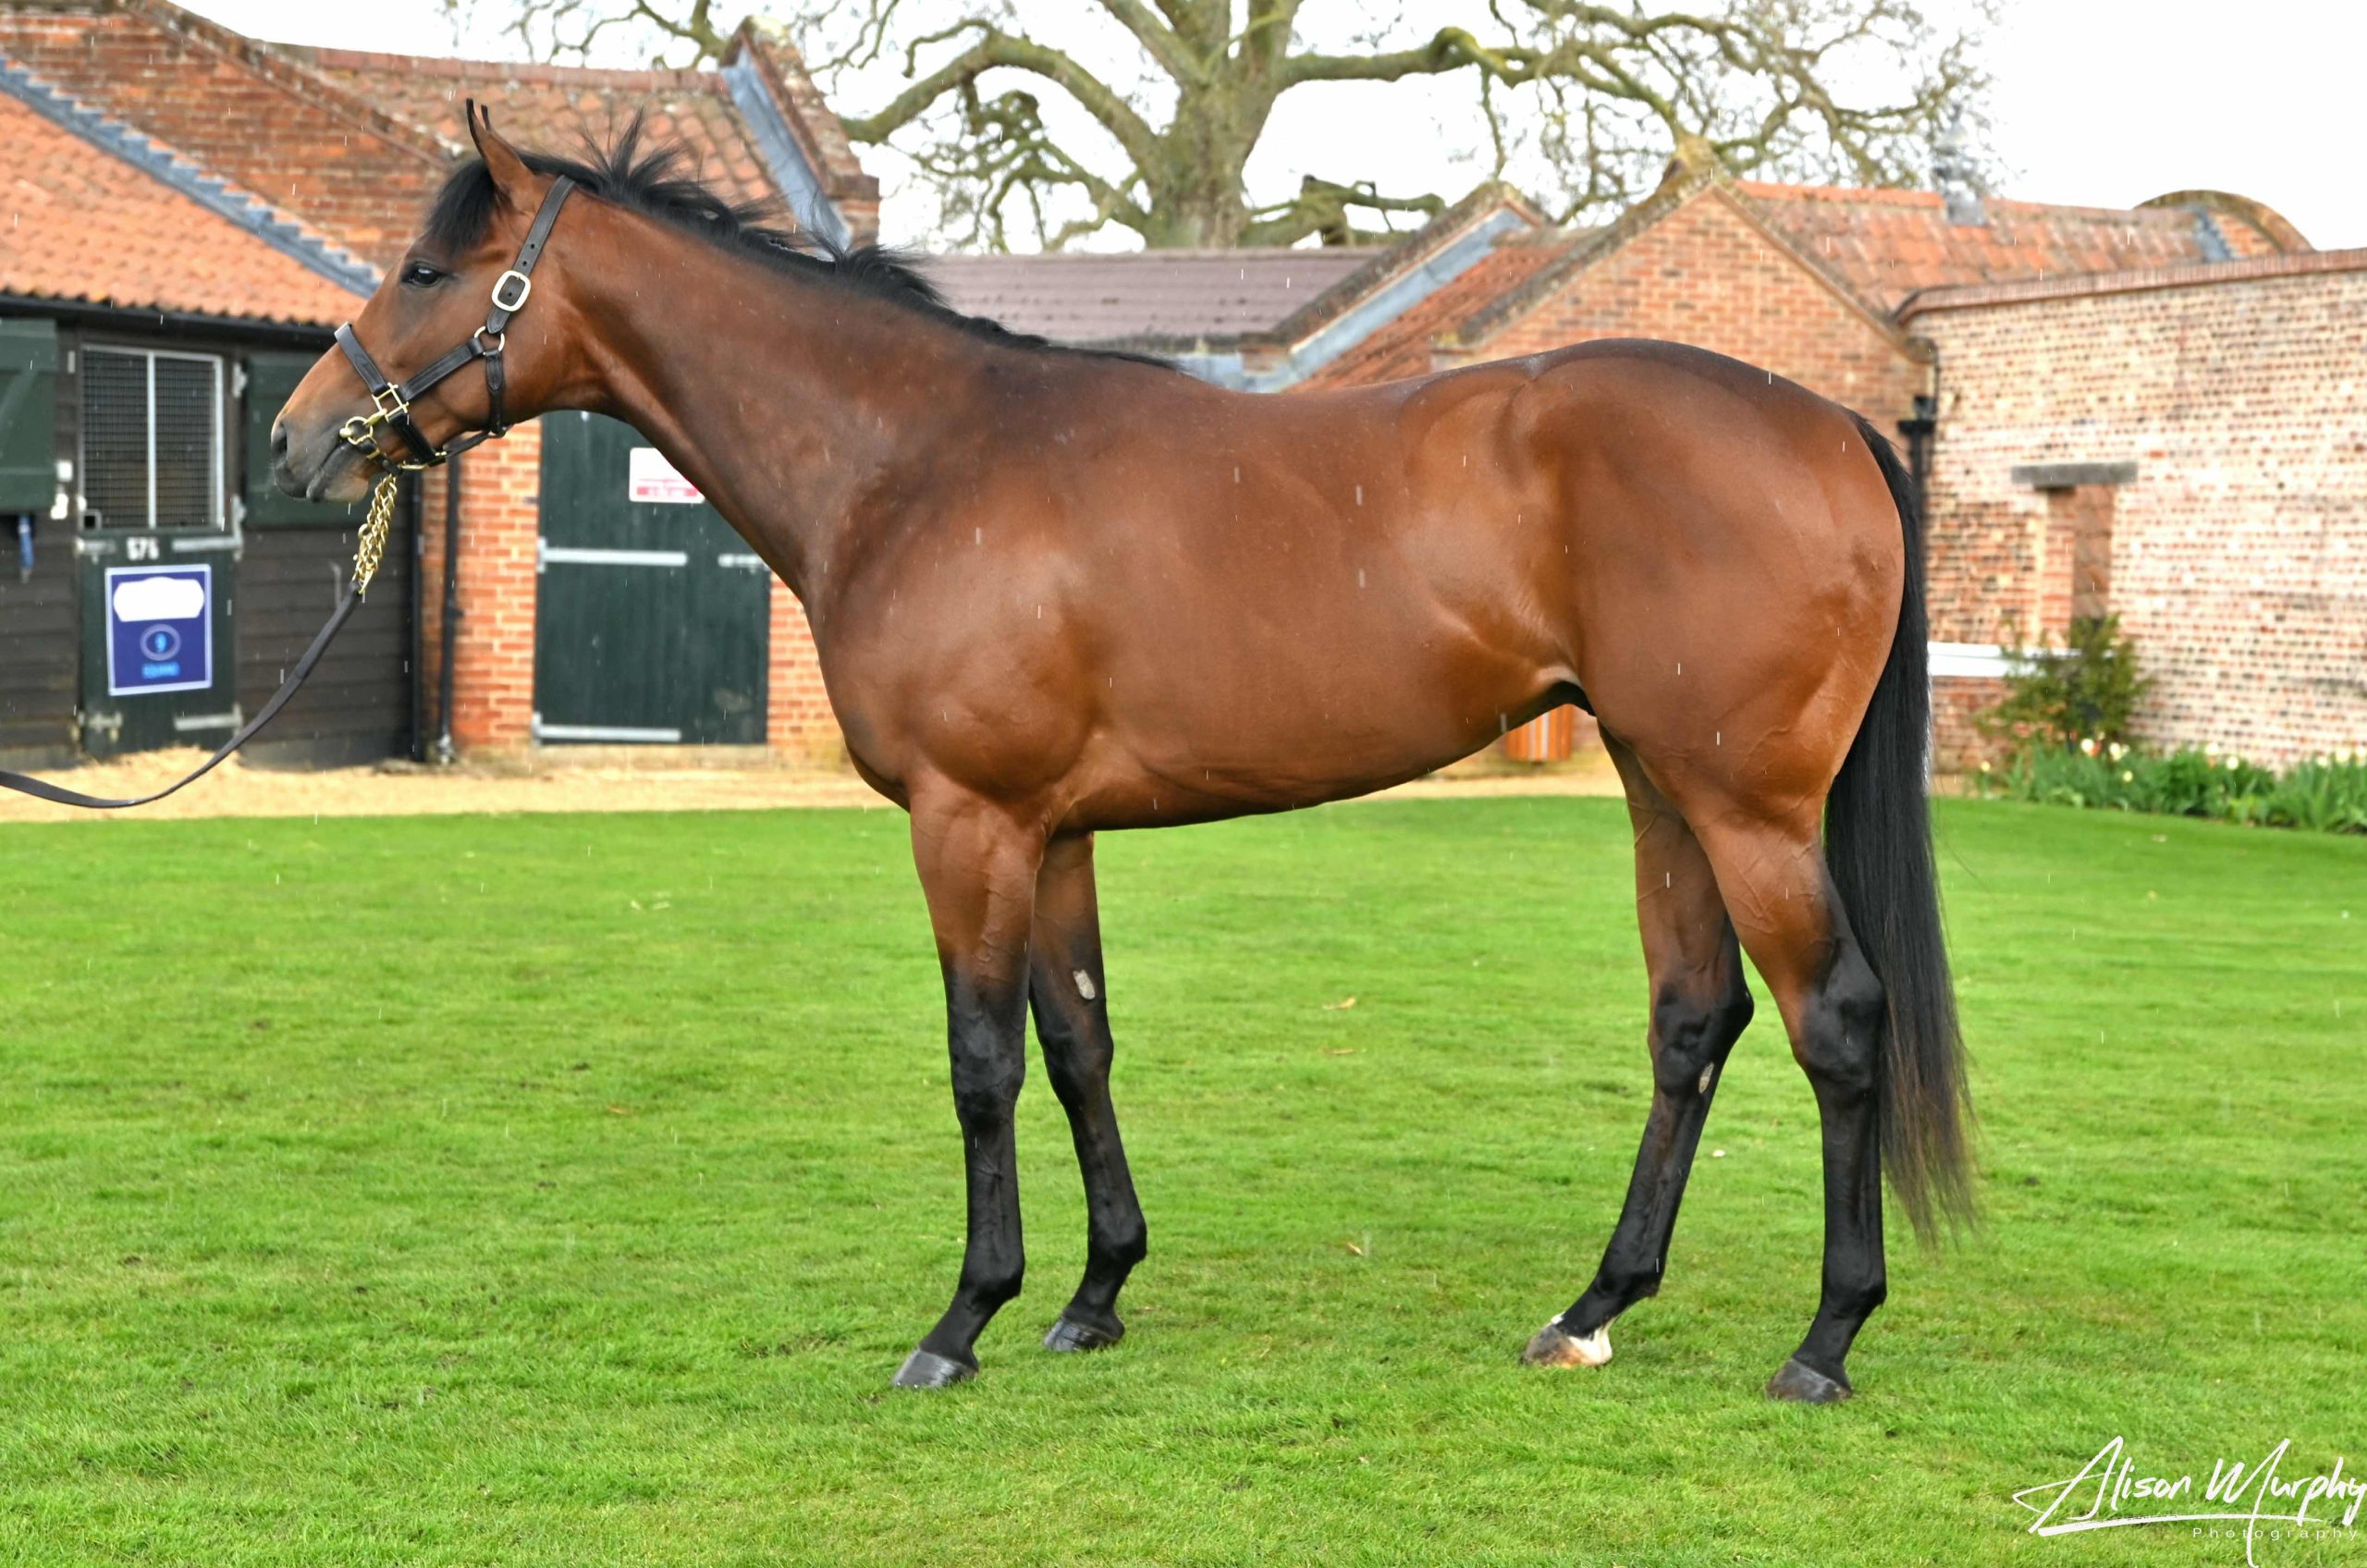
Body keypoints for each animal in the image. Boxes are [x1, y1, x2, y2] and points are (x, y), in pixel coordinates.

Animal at [272, 116, 1979, 1402]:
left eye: (428, 268)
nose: (298, 439)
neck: (918, 461)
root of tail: (1828, 420)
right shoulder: (1055, 831)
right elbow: (1079, 1042)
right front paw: (1093, 1296)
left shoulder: (967, 823)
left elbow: (980, 1061)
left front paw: (962, 1320)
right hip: (1655, 783)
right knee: (1693, 1021)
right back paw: (1592, 1308)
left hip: (1745, 805)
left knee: (1837, 1022)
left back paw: (1826, 1340)